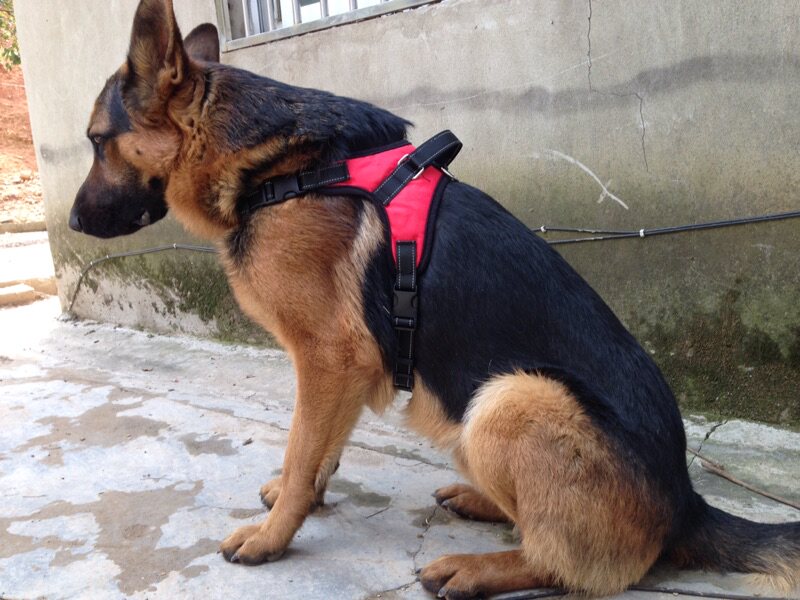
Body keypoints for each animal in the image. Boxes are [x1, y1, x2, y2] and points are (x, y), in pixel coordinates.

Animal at [69, 0, 800, 597]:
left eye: (98, 141)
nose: (71, 223)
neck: (282, 168)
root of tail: (686, 501)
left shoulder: (328, 356)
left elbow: (304, 449)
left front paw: (274, 534)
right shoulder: (342, 367)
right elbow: (319, 448)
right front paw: (302, 497)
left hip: (511, 396)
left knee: (573, 568)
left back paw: (477, 570)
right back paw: (481, 502)